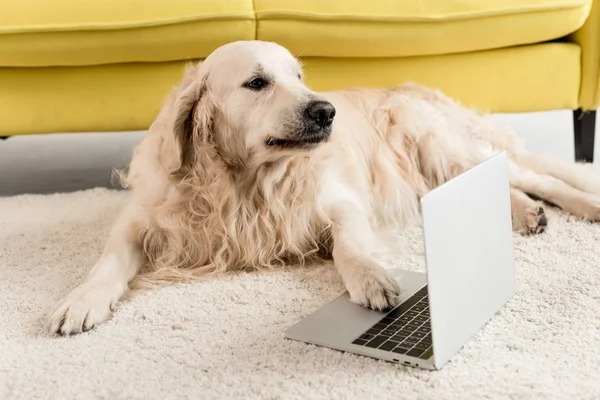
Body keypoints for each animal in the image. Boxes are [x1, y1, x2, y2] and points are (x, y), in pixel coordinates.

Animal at [49, 39, 600, 334]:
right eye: (257, 83)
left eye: (298, 75)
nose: (326, 110)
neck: (244, 182)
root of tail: (411, 88)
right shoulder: (141, 218)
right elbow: (107, 263)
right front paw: (80, 301)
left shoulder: (338, 202)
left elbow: (349, 247)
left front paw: (372, 279)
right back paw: (527, 213)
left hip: (439, 145)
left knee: (540, 175)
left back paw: (579, 206)